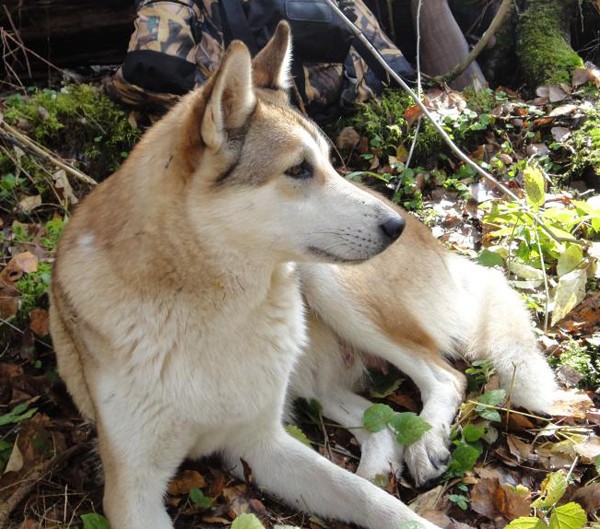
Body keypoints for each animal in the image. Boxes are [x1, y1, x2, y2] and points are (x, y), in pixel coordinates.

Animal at [49, 22, 442, 529]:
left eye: (329, 162)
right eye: (299, 169)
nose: (396, 226)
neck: (211, 307)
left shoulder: (260, 443)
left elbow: (371, 500)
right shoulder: (133, 490)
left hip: (331, 288)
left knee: (444, 374)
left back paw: (428, 440)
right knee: (378, 417)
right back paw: (382, 461)